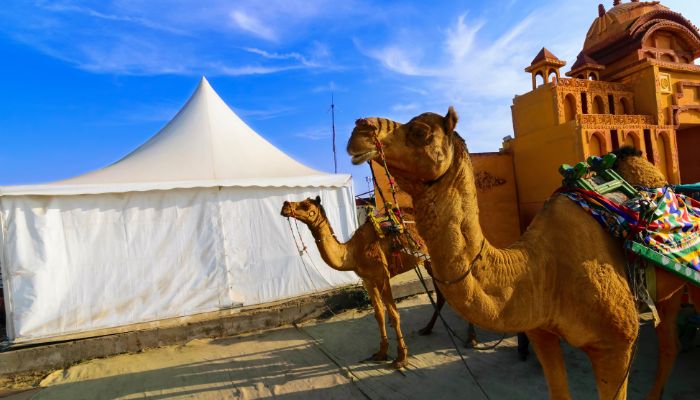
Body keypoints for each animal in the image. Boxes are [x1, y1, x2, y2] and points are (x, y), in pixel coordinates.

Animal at [278, 197, 476, 368]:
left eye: (306, 205)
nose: (285, 205)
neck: (353, 252)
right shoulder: (368, 279)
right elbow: (379, 314)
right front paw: (381, 353)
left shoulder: (382, 275)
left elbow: (394, 314)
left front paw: (401, 358)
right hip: (430, 261)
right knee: (443, 292)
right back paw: (427, 329)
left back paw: (471, 339)